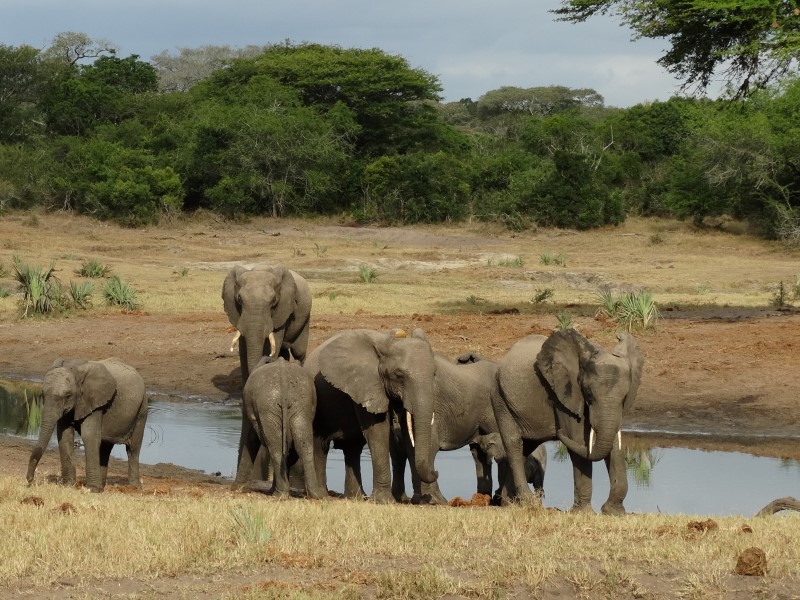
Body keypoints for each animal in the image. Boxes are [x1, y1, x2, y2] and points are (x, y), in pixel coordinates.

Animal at [25, 356, 148, 492]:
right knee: (105, 448)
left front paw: (92, 490)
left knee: (133, 448)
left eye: (68, 395)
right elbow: (65, 436)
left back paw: (134, 487)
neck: (75, 370)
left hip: (142, 407)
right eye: (42, 394)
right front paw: (69, 486)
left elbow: (89, 435)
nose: (29, 480)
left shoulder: (95, 402)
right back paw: (102, 486)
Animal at [234, 358, 324, 500]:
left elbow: (251, 440)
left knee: (275, 447)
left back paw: (279, 494)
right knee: (303, 444)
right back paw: (315, 495)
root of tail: (283, 378)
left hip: (268, 406)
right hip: (299, 402)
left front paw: (237, 488)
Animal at [306, 328, 440, 502]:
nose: (436, 472)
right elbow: (378, 431)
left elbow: (407, 432)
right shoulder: (364, 383)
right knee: (320, 445)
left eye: (434, 374)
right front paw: (384, 501)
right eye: (399, 375)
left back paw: (355, 497)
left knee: (353, 448)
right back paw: (323, 495)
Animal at [490, 328, 648, 516]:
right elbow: (578, 439)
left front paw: (613, 512)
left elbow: (615, 445)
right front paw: (584, 513)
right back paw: (527, 502)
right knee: (514, 444)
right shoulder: (562, 394)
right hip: (500, 398)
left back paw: (509, 504)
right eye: (588, 393)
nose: (557, 431)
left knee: (526, 447)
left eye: (625, 397)